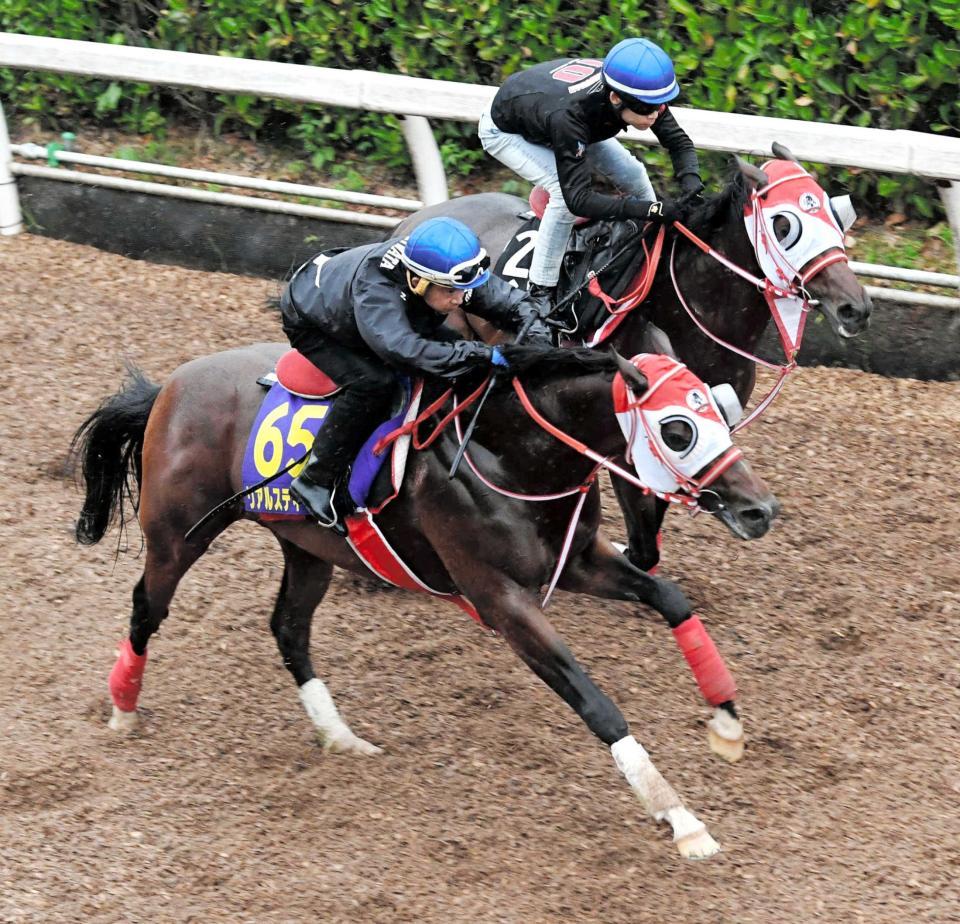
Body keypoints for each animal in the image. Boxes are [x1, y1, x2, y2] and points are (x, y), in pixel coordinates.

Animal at [75, 342, 780, 864]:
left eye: (721, 407)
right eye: (678, 429)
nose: (760, 510)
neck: (510, 452)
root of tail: (170, 386)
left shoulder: (577, 559)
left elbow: (670, 598)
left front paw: (726, 722)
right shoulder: (500, 600)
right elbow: (595, 702)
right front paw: (680, 817)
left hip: (306, 546)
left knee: (288, 628)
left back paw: (341, 736)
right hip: (178, 535)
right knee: (146, 609)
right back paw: (123, 709)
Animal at [394, 143, 872, 572]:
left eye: (836, 215)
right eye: (784, 224)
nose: (856, 308)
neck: (691, 311)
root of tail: (409, 225)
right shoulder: (629, 433)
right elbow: (643, 538)